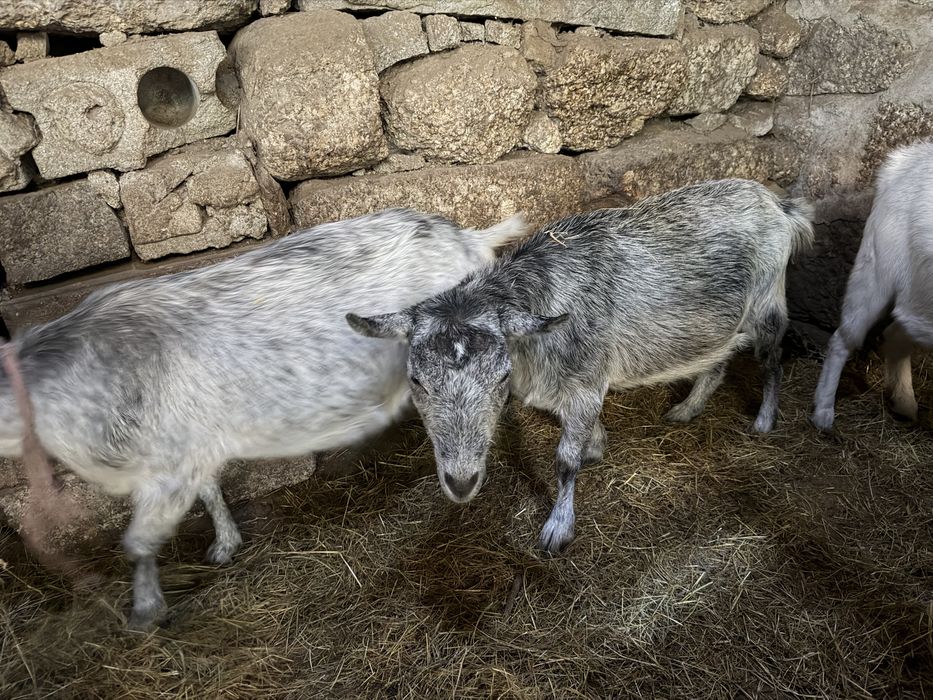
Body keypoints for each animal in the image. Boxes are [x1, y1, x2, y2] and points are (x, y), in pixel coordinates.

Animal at [0, 208, 526, 628]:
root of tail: (468, 238)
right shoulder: (194, 445)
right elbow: (211, 488)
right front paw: (224, 546)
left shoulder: (167, 470)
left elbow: (138, 544)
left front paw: (146, 614)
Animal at [349, 180, 814, 553]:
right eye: (416, 380)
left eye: (500, 377)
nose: (461, 483)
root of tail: (780, 205)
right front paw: (596, 446)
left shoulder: (587, 383)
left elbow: (564, 461)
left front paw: (558, 527)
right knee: (716, 363)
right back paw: (687, 408)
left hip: (768, 304)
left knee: (773, 360)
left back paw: (765, 420)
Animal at [812, 140, 933, 431]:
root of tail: (903, 160)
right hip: (874, 273)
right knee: (843, 338)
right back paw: (823, 413)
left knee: (896, 333)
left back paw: (904, 402)